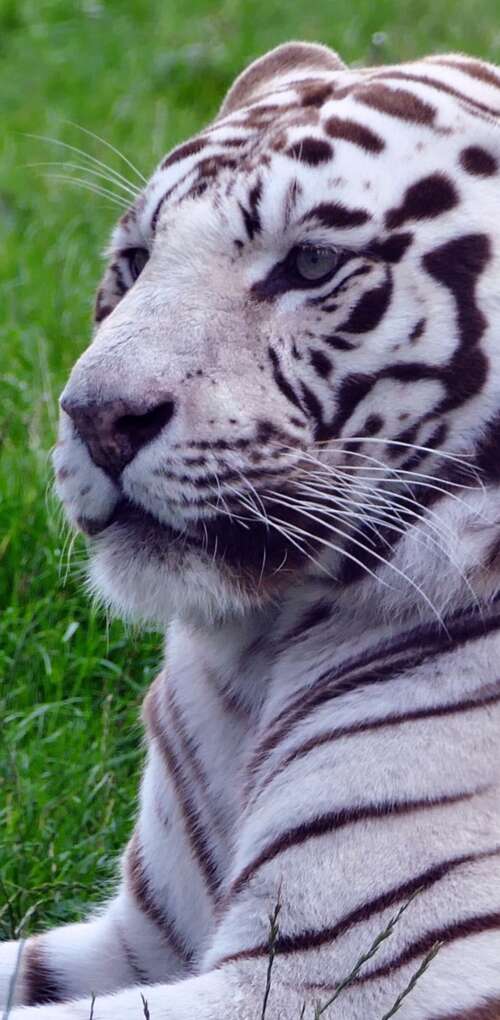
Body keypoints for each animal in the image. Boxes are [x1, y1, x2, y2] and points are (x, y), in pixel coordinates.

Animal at [4, 37, 500, 1019]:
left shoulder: (346, 974)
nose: (97, 417)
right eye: (135, 260)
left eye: (310, 265)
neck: (259, 655)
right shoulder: (141, 938)